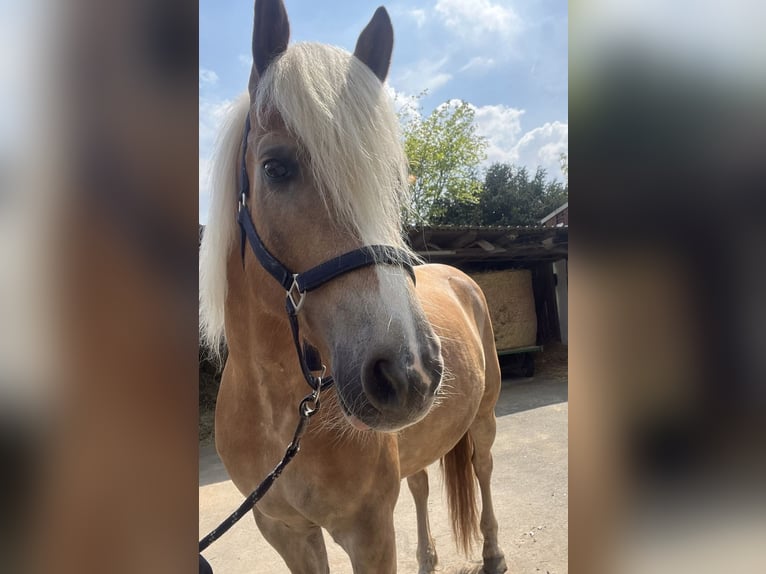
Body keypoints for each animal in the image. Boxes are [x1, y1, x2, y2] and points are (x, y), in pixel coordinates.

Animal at [201, 2, 508, 572]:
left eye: (393, 184)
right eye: (275, 167)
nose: (409, 371)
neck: (280, 416)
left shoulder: (368, 532)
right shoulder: (285, 532)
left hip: (484, 417)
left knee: (483, 469)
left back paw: (494, 552)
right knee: (421, 483)